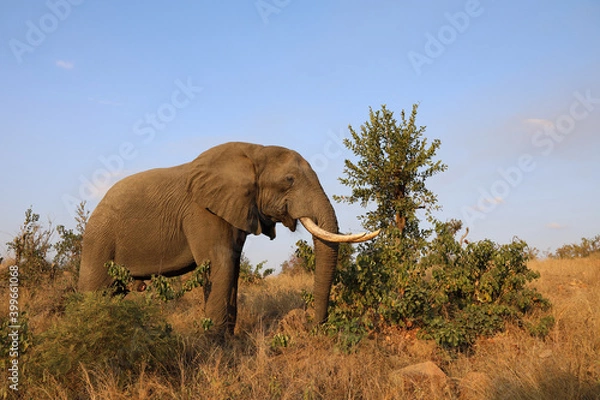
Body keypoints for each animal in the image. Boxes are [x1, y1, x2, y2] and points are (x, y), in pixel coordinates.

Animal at [78, 142, 380, 332]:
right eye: (289, 180)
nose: (313, 325)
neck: (256, 151)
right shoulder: (203, 211)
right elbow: (220, 266)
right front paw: (215, 350)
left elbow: (232, 269)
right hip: (99, 240)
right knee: (95, 291)